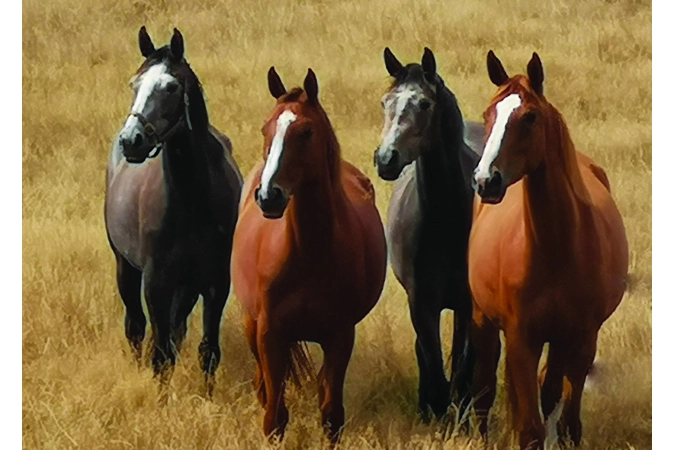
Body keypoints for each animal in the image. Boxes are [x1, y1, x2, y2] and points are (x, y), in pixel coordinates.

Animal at [104, 27, 243, 395]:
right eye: (135, 84)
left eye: (171, 86)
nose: (132, 140)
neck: (193, 200)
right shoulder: (157, 281)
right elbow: (160, 353)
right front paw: (162, 400)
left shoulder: (215, 282)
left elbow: (208, 349)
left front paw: (207, 399)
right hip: (126, 267)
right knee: (136, 327)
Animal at [231, 67, 387, 442]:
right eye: (266, 129)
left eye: (306, 132)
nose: (269, 196)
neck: (309, 253)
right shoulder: (270, 333)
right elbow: (274, 417)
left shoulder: (340, 336)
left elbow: (331, 415)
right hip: (250, 324)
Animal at [373, 47, 483, 422]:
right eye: (385, 102)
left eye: (424, 103)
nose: (385, 159)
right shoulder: (421, 302)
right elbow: (433, 366)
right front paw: (434, 413)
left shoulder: (470, 303)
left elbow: (464, 367)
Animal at [468, 51, 629, 449]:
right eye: (488, 114)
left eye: (529, 117)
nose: (485, 181)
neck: (558, 249)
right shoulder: (521, 337)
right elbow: (529, 428)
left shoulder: (581, 338)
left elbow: (566, 418)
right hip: (483, 319)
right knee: (484, 386)